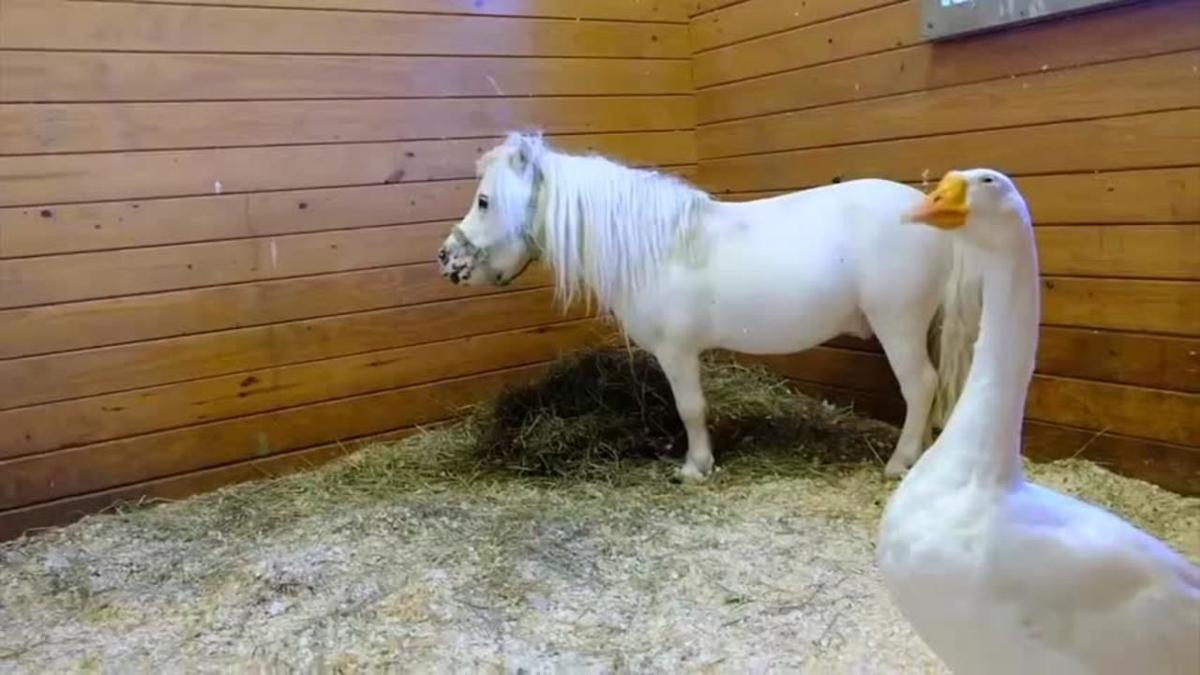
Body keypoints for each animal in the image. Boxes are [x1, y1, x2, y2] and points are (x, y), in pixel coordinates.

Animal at [437, 131, 981, 482]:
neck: (658, 247)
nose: (447, 258)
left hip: (899, 325)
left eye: (484, 202)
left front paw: (696, 467)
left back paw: (901, 463)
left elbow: (691, 408)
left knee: (921, 385)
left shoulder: (677, 352)